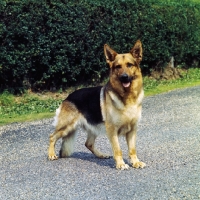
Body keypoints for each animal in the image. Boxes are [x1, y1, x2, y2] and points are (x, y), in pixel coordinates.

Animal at [48, 40, 145, 170]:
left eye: (129, 65)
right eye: (118, 67)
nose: (124, 77)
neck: (127, 97)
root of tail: (68, 97)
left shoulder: (132, 130)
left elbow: (132, 149)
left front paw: (135, 162)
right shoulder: (112, 131)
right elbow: (118, 150)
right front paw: (120, 164)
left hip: (92, 128)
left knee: (88, 143)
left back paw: (101, 155)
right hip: (66, 127)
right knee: (52, 136)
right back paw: (51, 154)